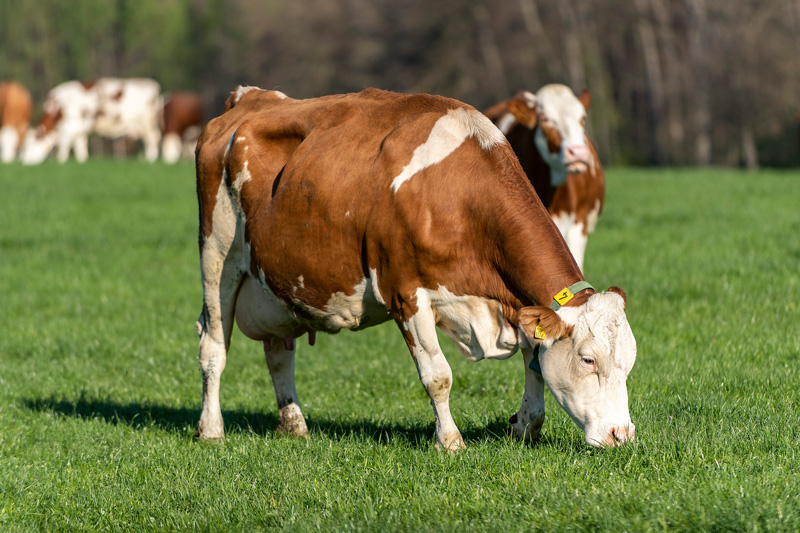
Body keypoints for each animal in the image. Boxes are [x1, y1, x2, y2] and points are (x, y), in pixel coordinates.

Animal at [21, 77, 162, 164]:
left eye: (30, 145)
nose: (24, 161)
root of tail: (152, 85)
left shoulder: (70, 127)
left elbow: (64, 147)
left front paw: (60, 162)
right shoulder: (78, 130)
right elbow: (81, 148)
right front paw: (82, 162)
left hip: (146, 123)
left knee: (152, 138)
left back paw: (150, 160)